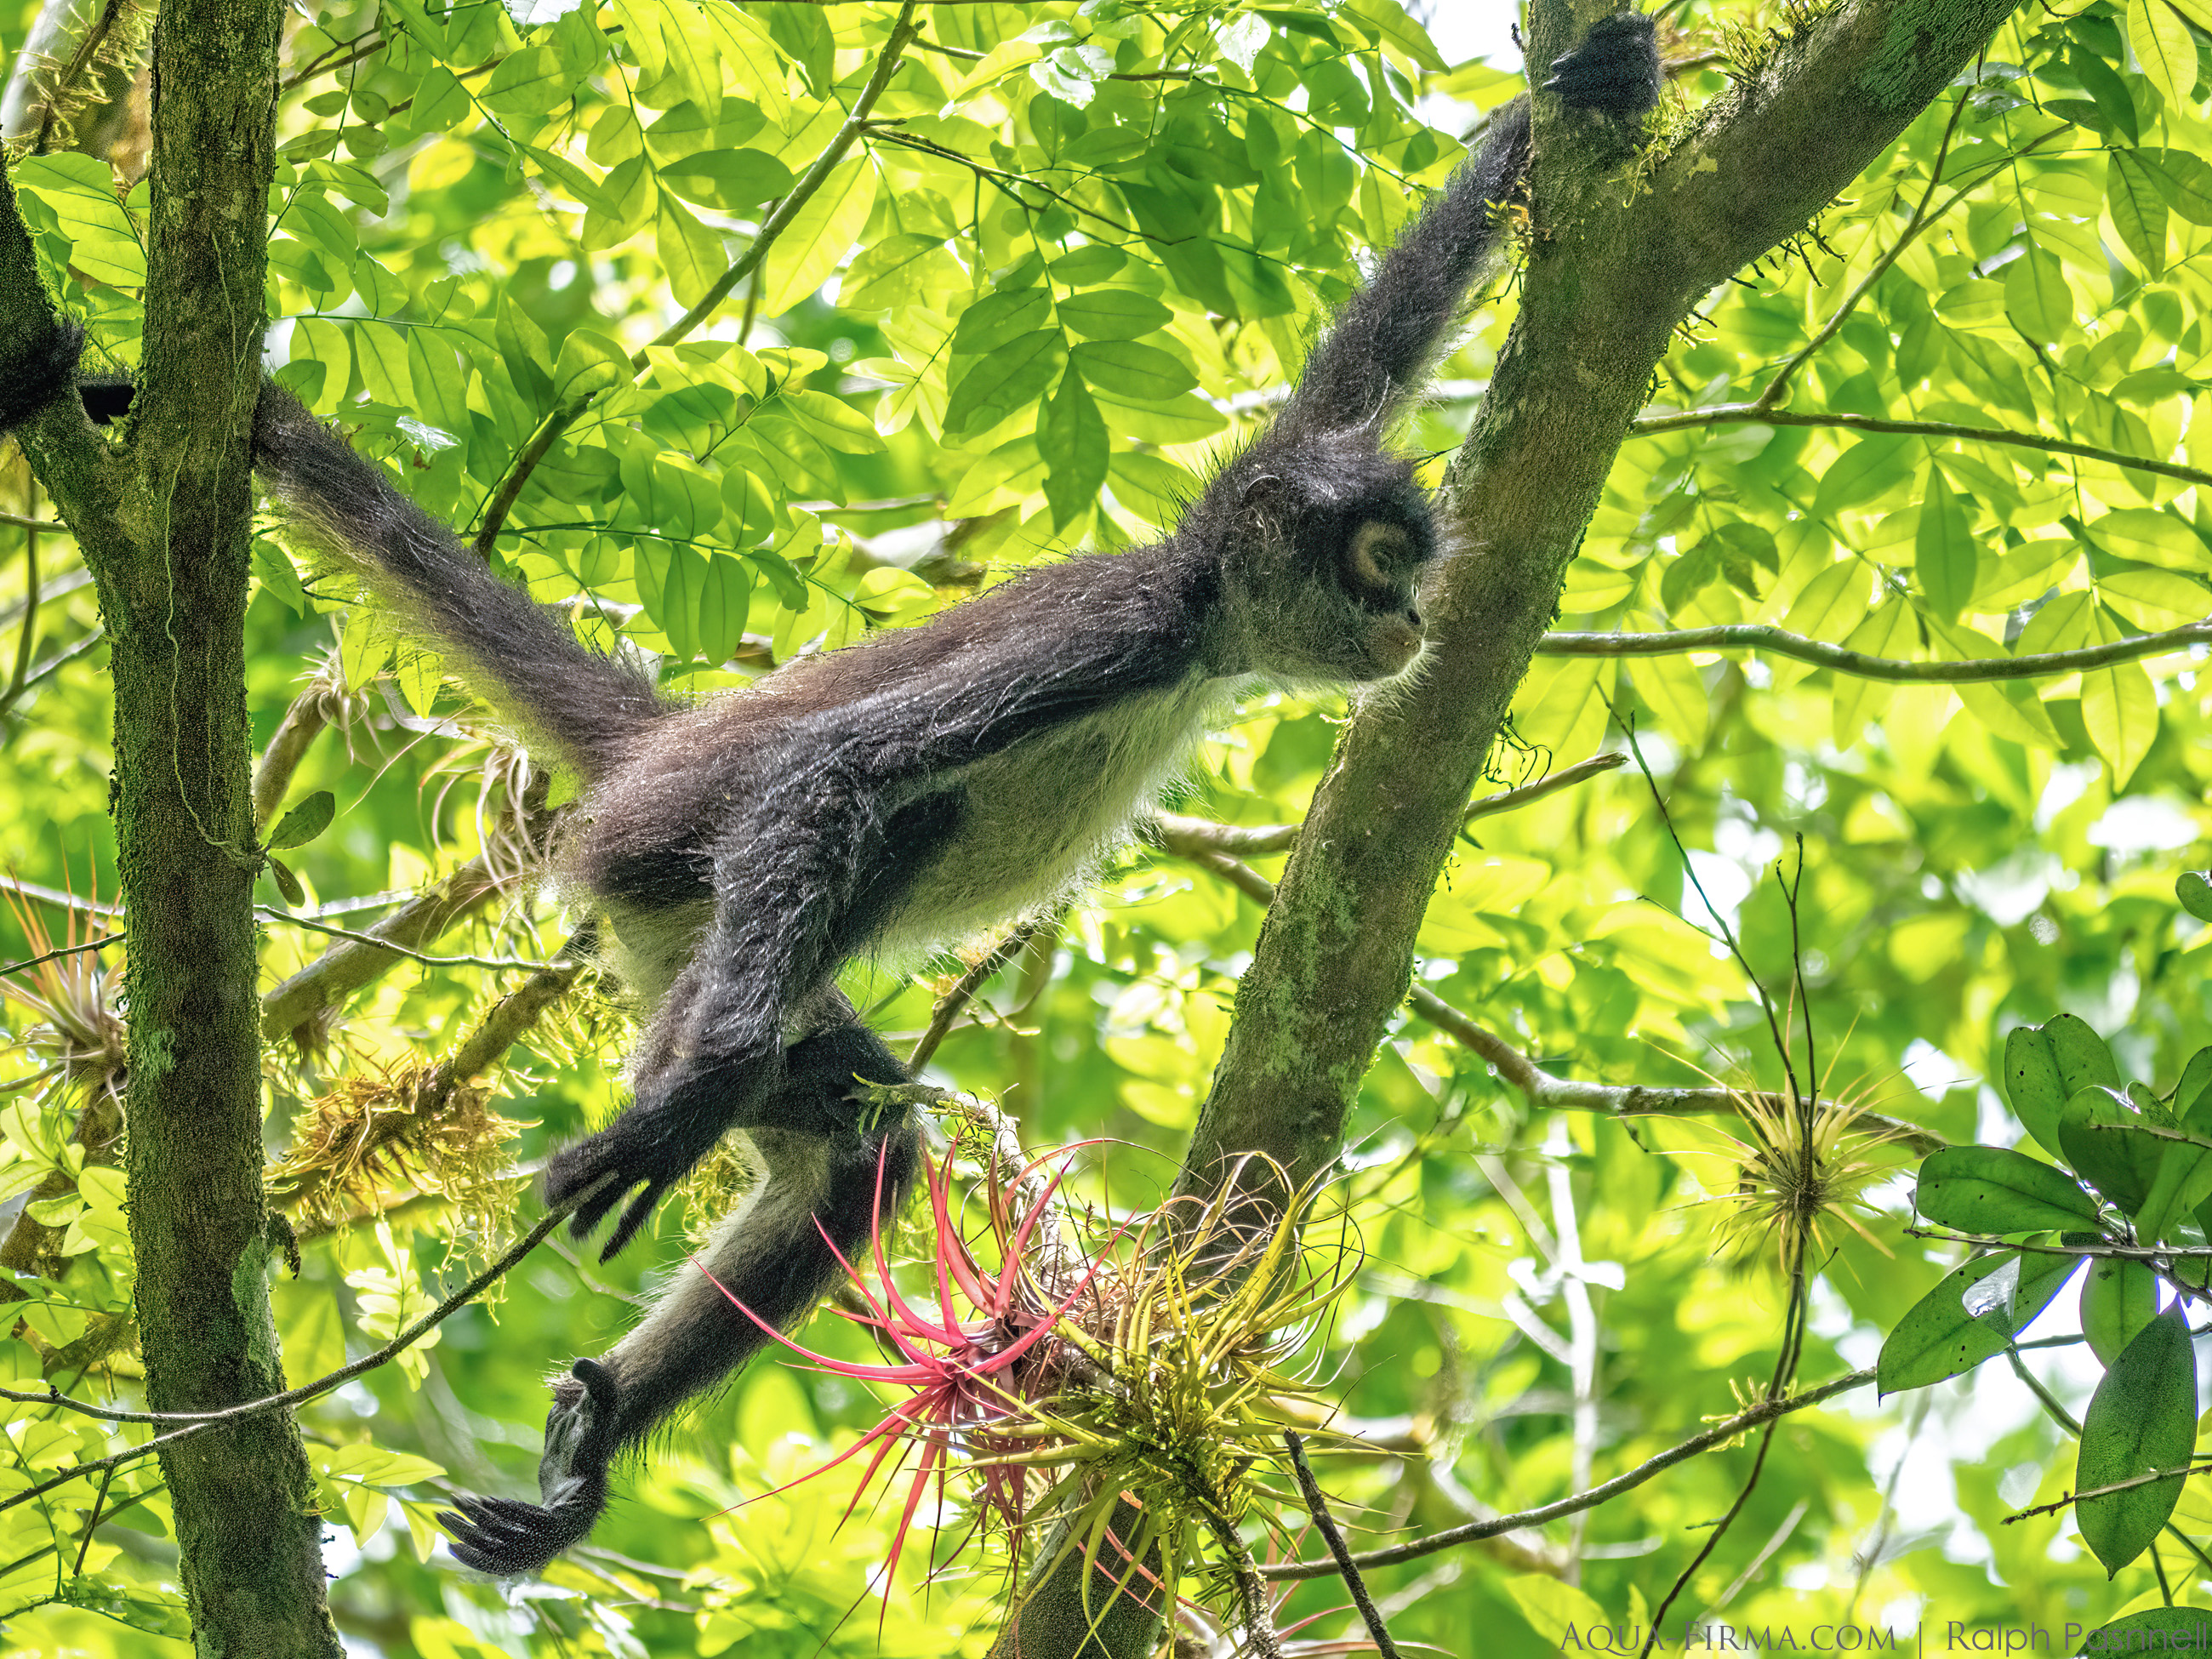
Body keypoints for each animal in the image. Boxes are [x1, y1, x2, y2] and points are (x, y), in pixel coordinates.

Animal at [1, 15, 1659, 1574]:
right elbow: (834, 770)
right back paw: (687, 1106)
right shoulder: (1118, 634)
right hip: (682, 896)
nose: (1414, 616)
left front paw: (1575, 96)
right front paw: (680, 1116)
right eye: (1379, 562)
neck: (1203, 618)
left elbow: (1379, 335)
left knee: (865, 1150)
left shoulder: (1284, 458)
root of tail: (659, 754)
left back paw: (599, 1435)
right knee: (863, 843)